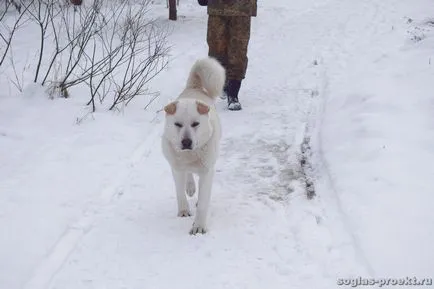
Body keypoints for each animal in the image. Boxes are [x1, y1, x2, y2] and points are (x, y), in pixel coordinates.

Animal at [162, 56, 225, 234]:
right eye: (177, 124)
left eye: (195, 123)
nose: (186, 142)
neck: (191, 154)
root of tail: (193, 87)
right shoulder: (176, 169)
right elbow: (179, 192)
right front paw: (183, 211)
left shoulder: (207, 171)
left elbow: (203, 202)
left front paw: (199, 226)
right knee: (188, 175)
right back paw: (190, 187)